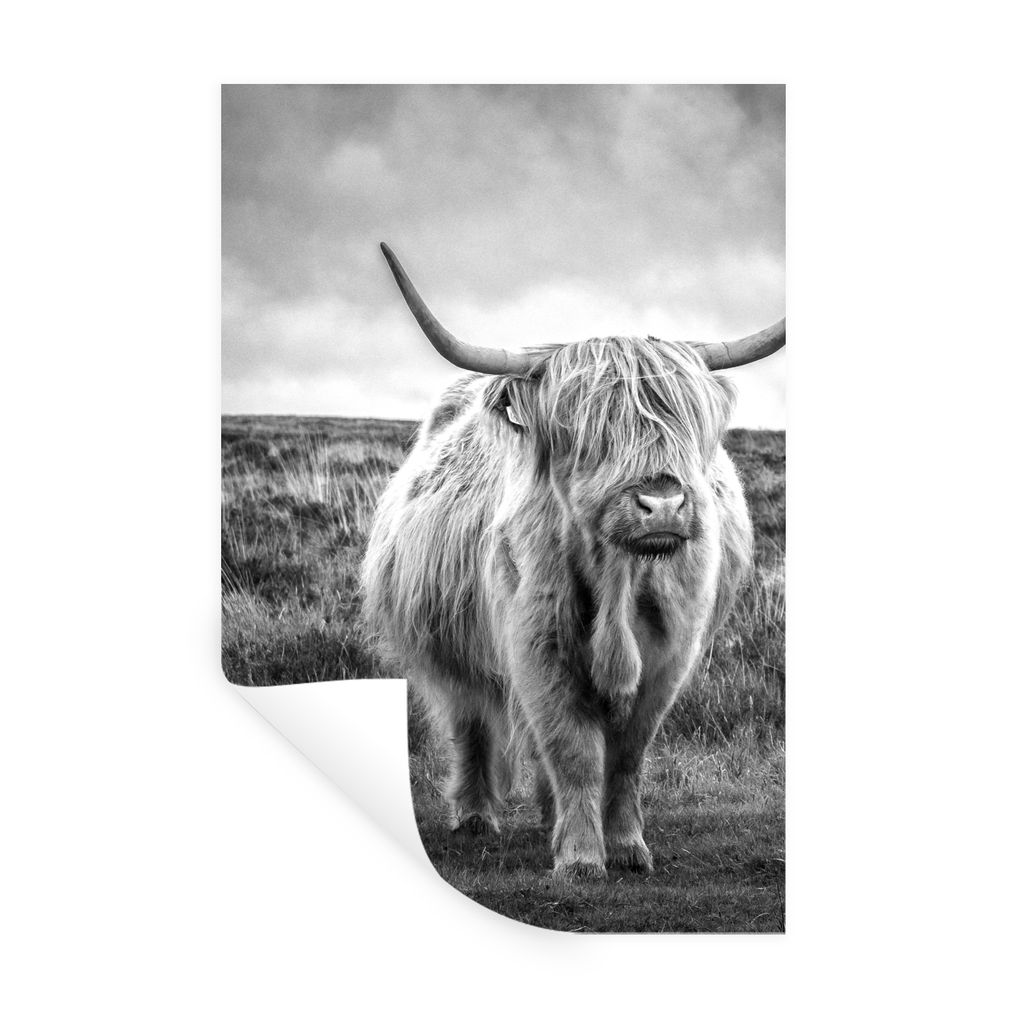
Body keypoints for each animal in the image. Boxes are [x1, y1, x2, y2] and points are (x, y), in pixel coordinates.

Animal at [362, 243, 784, 880]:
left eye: (686, 423)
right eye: (588, 431)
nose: (662, 504)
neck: (620, 580)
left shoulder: (670, 654)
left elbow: (627, 753)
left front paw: (627, 846)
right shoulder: (538, 644)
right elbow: (574, 748)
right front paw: (582, 857)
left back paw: (547, 817)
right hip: (448, 647)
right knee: (470, 722)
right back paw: (477, 816)